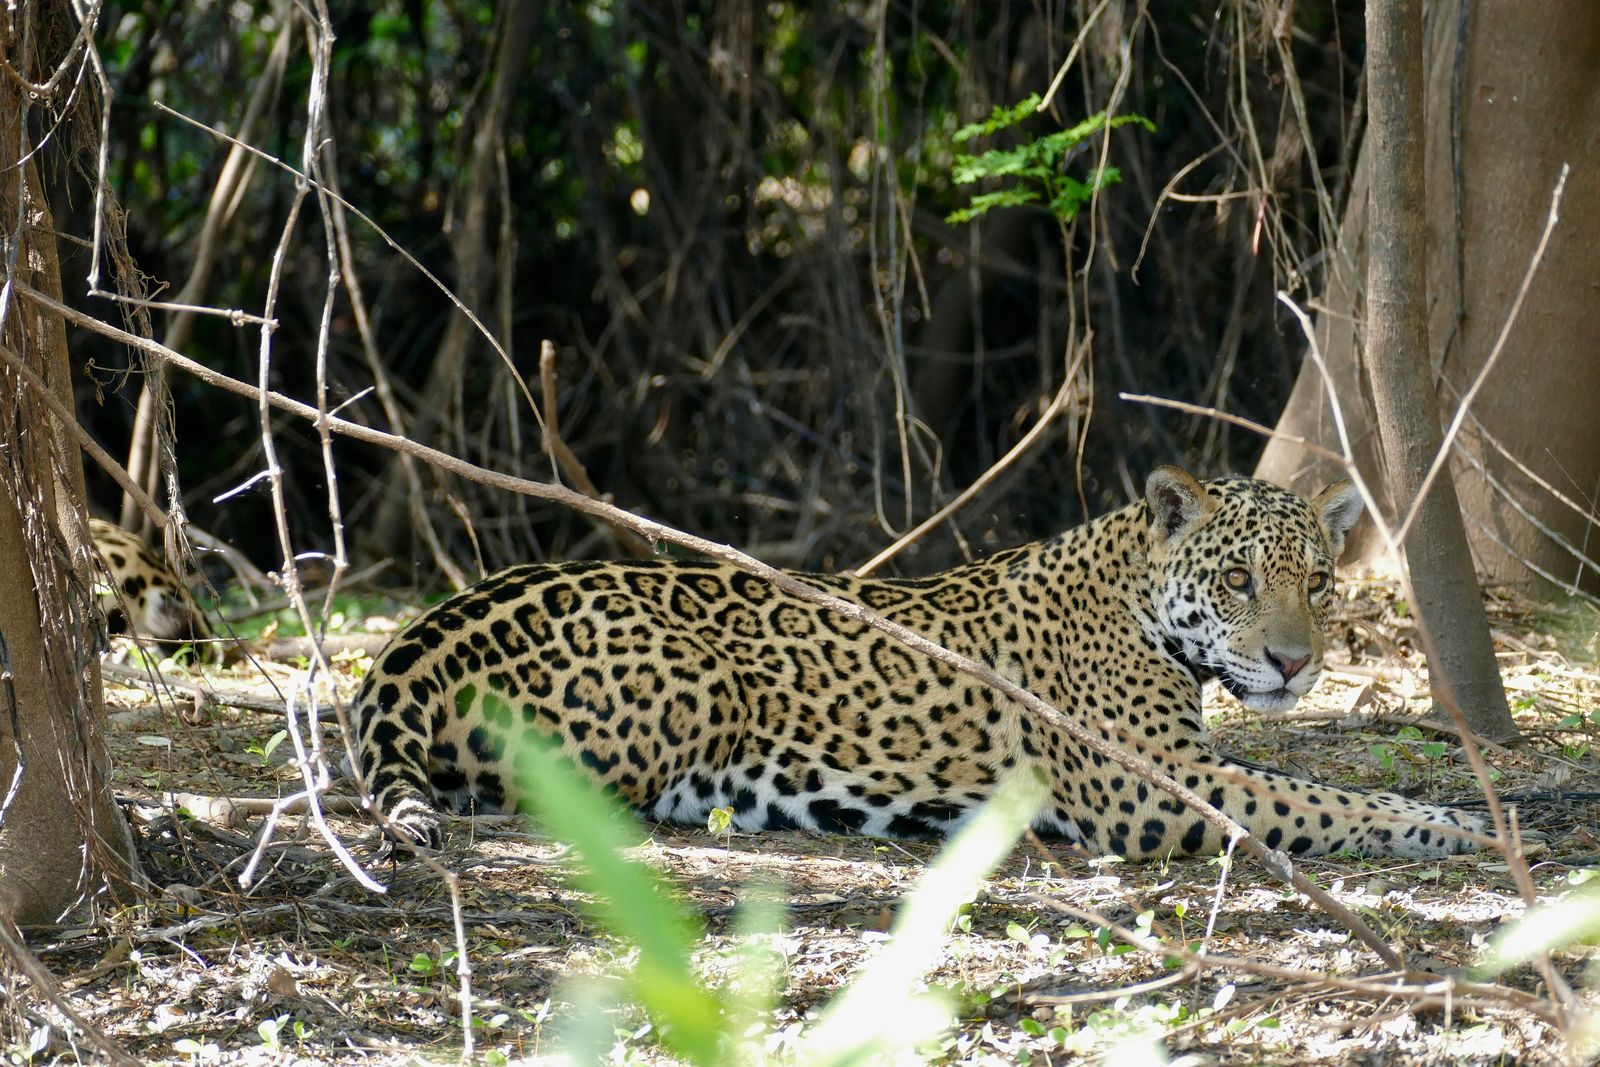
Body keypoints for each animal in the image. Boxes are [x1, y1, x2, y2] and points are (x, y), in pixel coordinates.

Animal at [351, 466, 1485, 860]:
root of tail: (427, 629)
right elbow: (1325, 802)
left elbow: (1316, 781)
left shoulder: (1191, 759)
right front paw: (1453, 831)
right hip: (689, 686)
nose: (1294, 663)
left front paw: (1462, 812)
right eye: (1240, 580)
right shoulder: (1151, 785)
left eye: (1320, 583)